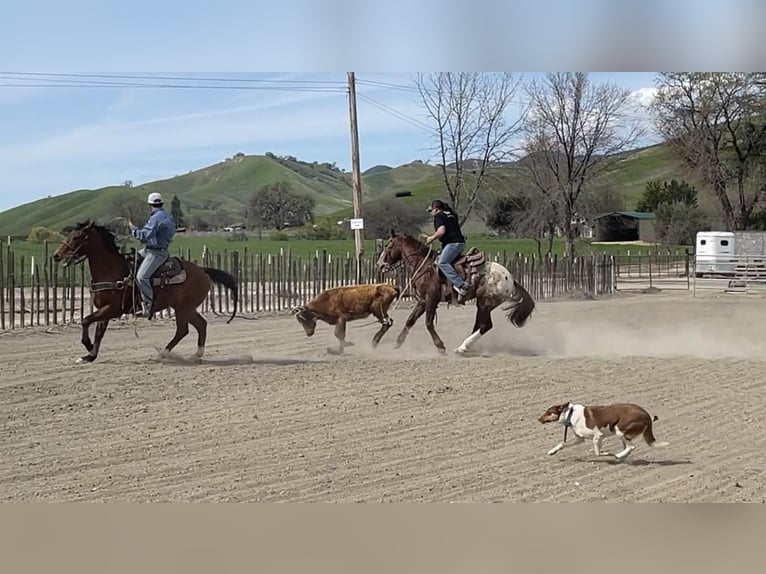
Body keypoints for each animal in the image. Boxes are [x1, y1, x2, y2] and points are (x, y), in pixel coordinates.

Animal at [52, 220, 238, 364]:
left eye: (76, 237)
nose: (56, 255)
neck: (112, 271)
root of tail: (203, 271)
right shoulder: (104, 309)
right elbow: (98, 332)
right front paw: (89, 356)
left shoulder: (114, 309)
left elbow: (85, 320)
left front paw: (88, 347)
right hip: (186, 308)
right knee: (201, 325)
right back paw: (195, 355)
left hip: (183, 308)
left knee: (183, 330)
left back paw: (163, 354)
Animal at [376, 230, 536, 356]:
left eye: (389, 245)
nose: (379, 265)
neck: (423, 265)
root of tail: (510, 278)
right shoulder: (422, 301)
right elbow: (410, 320)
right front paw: (397, 343)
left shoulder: (431, 299)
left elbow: (428, 323)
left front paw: (440, 347)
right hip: (482, 305)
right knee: (479, 325)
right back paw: (466, 347)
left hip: (485, 303)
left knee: (485, 325)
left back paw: (462, 348)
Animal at [540, 404, 672, 464]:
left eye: (548, 413)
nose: (538, 419)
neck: (570, 414)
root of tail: (646, 414)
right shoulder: (580, 439)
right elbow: (562, 444)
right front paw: (552, 451)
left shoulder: (598, 436)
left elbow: (597, 453)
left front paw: (608, 453)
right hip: (621, 434)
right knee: (628, 447)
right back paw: (621, 457)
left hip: (620, 430)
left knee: (631, 446)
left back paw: (618, 455)